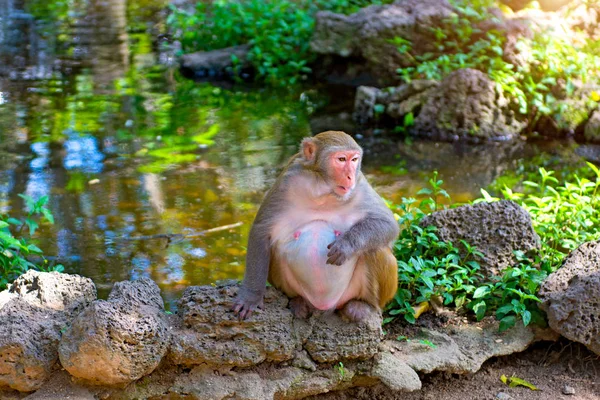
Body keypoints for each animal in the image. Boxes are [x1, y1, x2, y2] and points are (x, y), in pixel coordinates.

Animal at [233, 131, 398, 322]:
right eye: (341, 159)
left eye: (354, 160)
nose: (350, 176)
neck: (323, 190)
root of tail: (324, 306)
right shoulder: (286, 182)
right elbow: (261, 231)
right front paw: (251, 297)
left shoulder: (360, 185)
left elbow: (386, 223)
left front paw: (346, 245)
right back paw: (297, 302)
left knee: (375, 249)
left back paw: (363, 306)